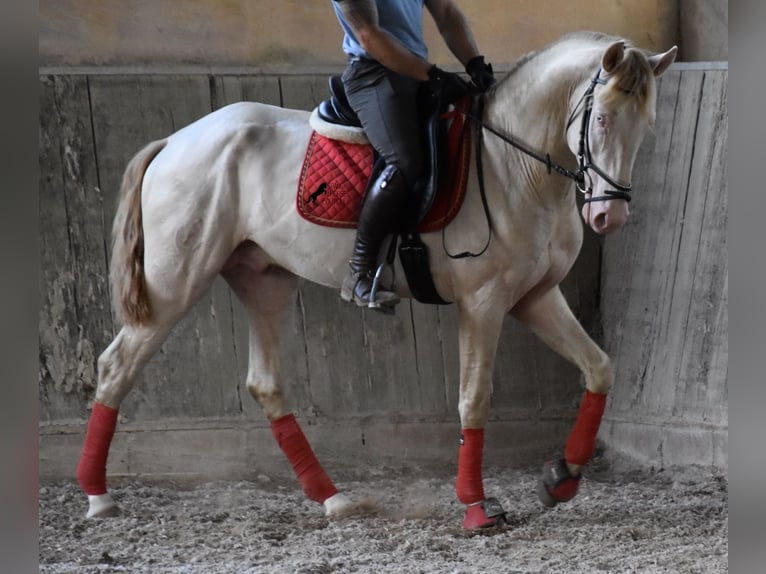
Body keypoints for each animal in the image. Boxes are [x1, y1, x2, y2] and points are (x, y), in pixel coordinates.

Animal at [78, 32, 680, 532]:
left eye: (646, 126)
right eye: (601, 120)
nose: (608, 217)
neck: (515, 167)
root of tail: (176, 140)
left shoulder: (534, 297)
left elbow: (599, 368)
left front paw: (563, 477)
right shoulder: (483, 302)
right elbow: (473, 400)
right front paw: (476, 507)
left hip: (263, 279)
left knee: (265, 384)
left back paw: (335, 499)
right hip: (174, 283)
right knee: (116, 366)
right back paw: (99, 498)